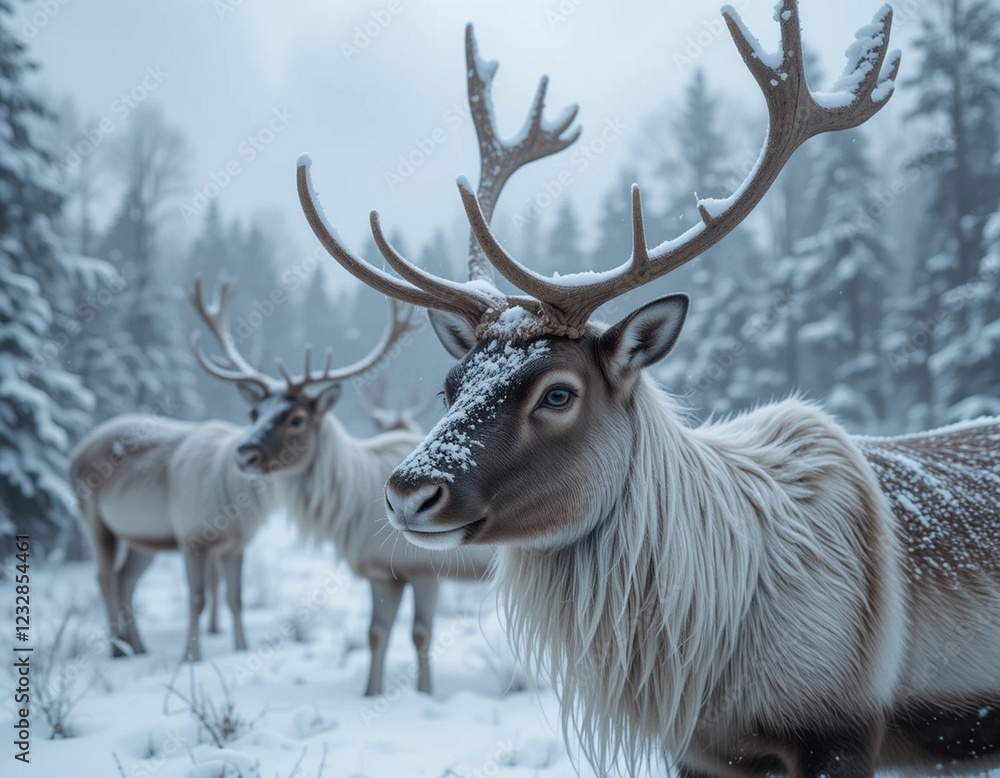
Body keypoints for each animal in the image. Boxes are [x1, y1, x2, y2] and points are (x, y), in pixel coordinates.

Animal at [188, 278, 495, 696]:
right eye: (254, 412)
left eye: (297, 418)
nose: (245, 454)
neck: (350, 509)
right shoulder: (382, 572)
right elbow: (376, 634)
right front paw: (369, 692)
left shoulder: (423, 567)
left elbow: (420, 635)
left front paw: (425, 692)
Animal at [295, 5, 1000, 777]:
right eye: (451, 385)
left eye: (559, 394)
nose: (407, 491)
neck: (700, 658)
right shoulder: (702, 751)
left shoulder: (842, 726)